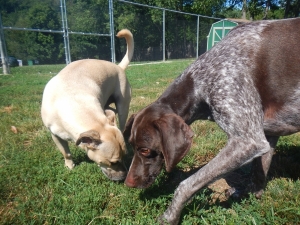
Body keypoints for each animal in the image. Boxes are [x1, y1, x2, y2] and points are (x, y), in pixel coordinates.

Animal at [41, 29, 134, 181]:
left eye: (125, 156)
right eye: (112, 162)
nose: (124, 177)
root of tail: (118, 66)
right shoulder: (55, 134)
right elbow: (66, 152)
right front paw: (69, 166)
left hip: (123, 105)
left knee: (121, 120)